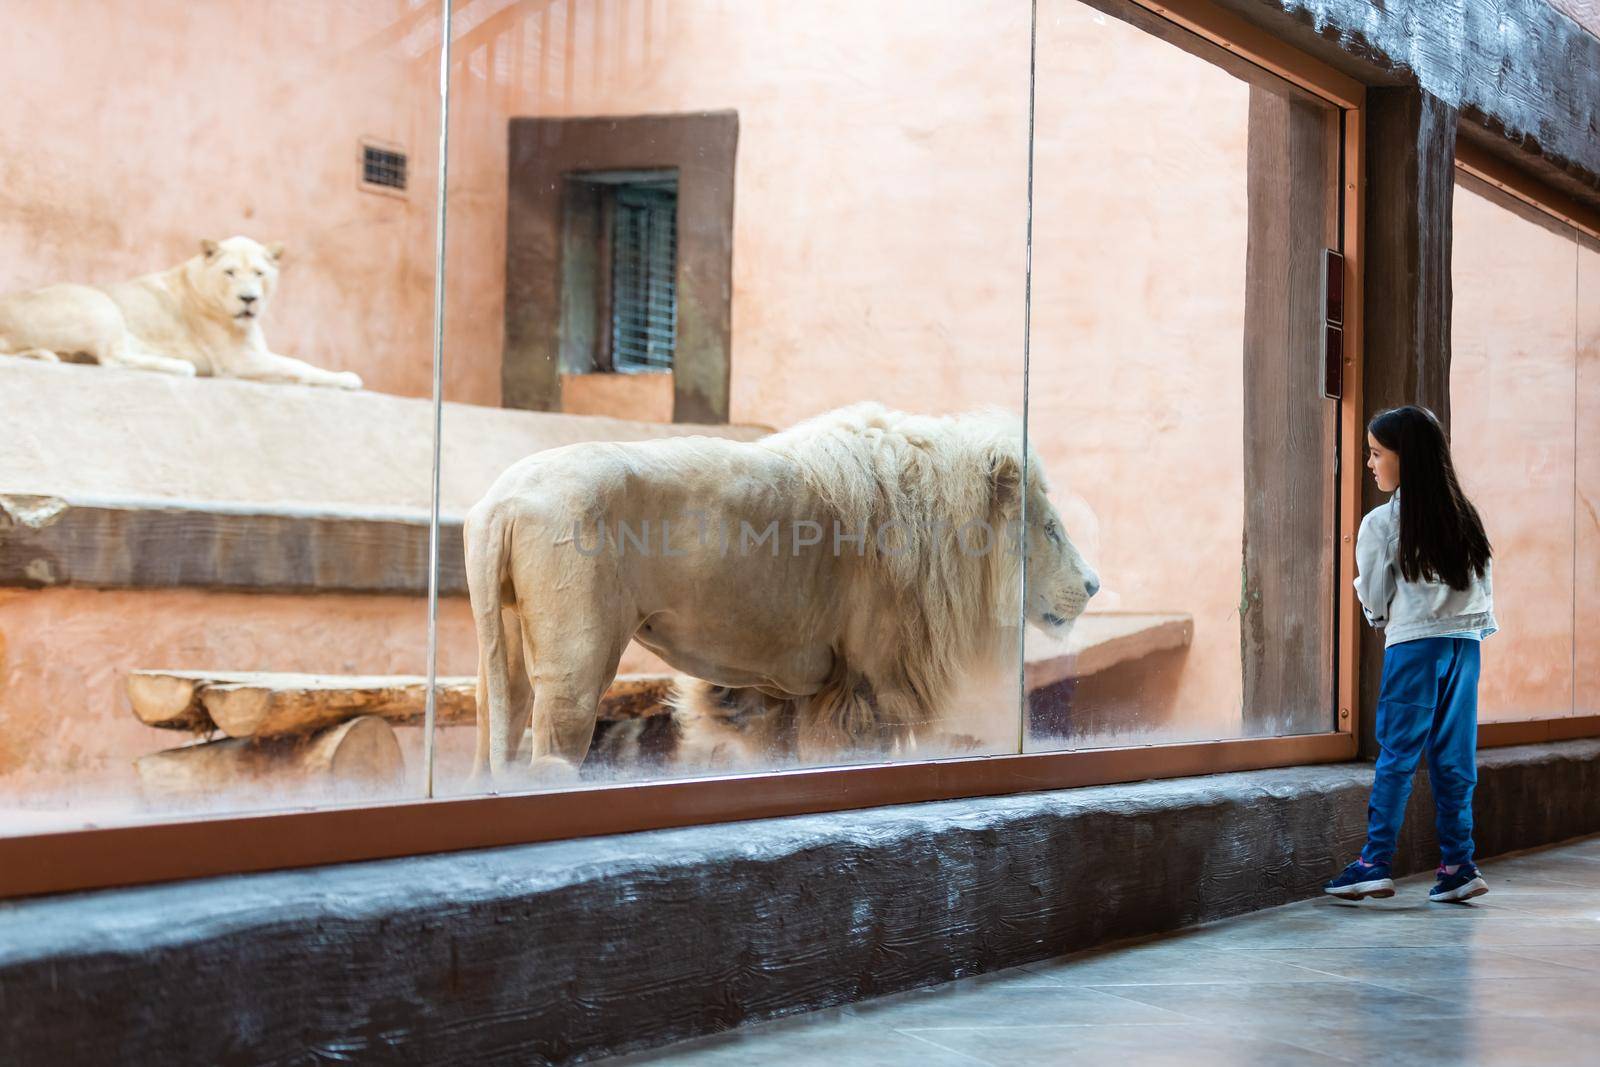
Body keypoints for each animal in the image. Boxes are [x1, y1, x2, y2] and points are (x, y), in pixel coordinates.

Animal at [0, 235, 363, 390]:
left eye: (259, 273)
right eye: (230, 272)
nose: (248, 299)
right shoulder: (236, 361)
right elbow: (298, 366)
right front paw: (346, 378)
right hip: (99, 305)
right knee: (114, 358)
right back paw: (180, 366)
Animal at [464, 399, 1100, 783]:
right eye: (1050, 528)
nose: (1094, 585)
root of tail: (503, 499)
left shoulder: (781, 693)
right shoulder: (865, 684)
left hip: (501, 650)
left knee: (499, 727)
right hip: (576, 664)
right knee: (552, 750)